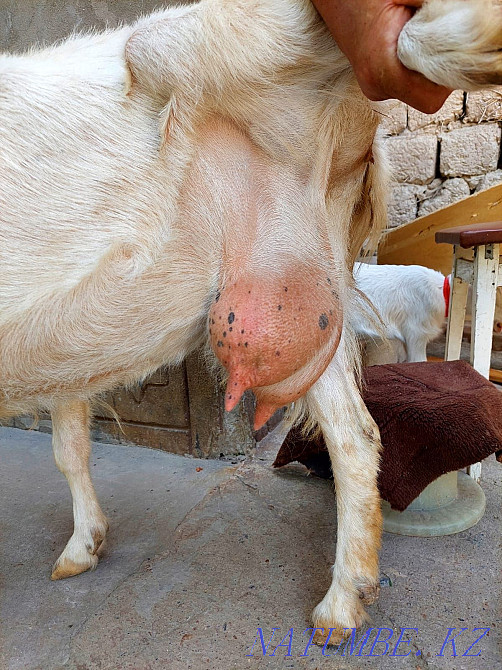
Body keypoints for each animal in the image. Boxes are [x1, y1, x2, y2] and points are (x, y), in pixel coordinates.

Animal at [1, 0, 500, 646]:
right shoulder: (67, 358)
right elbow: (70, 447)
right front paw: (82, 549)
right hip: (308, 287)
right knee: (356, 436)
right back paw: (343, 605)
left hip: (195, 45)